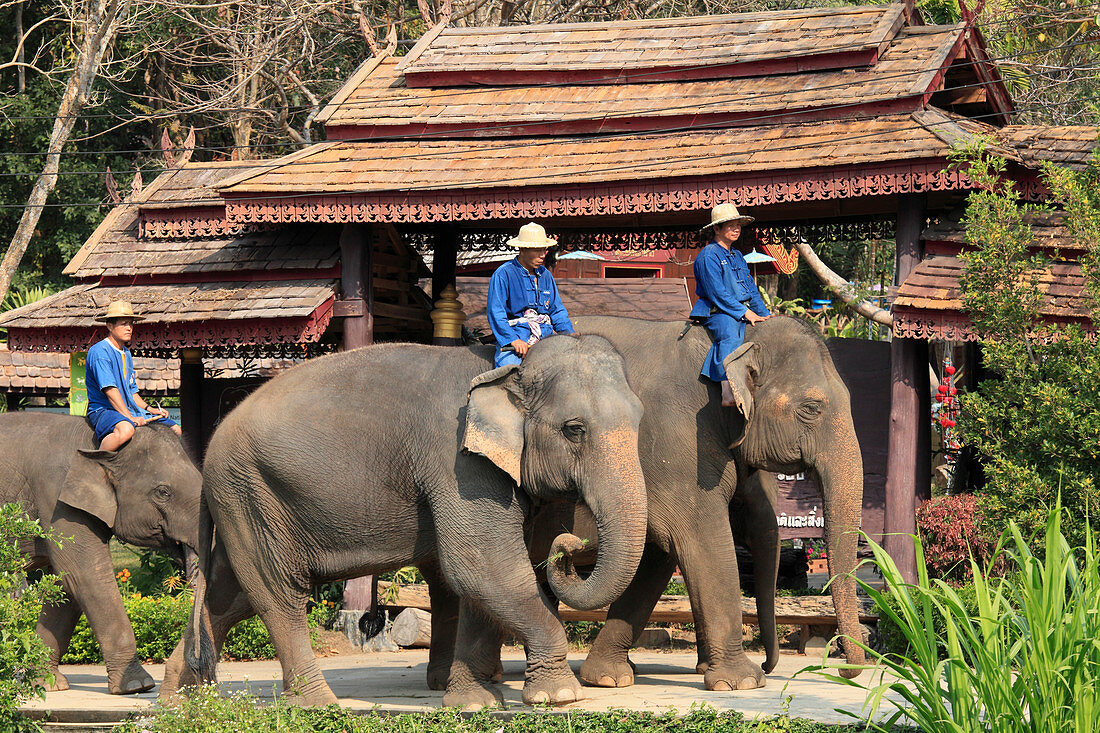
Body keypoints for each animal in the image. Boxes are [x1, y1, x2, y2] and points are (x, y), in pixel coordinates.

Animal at [0, 413, 201, 695]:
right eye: (163, 492)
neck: (95, 442)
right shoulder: (58, 501)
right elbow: (84, 574)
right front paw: (137, 686)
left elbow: (65, 586)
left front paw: (48, 684)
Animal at [176, 334, 646, 704]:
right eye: (574, 429)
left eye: (641, 419)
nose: (570, 545)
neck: (506, 369)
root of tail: (208, 450)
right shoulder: (458, 464)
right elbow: (483, 567)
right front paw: (559, 696)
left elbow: (478, 579)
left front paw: (474, 702)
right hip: (251, 493)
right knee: (279, 595)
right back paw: (318, 705)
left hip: (243, 504)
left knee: (227, 594)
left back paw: (182, 703)